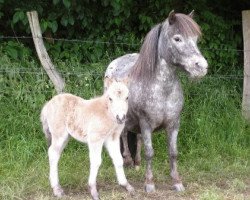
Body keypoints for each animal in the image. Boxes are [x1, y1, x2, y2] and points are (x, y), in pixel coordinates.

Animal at [104, 10, 208, 192]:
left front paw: (177, 182)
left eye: (195, 39)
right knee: (122, 135)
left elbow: (173, 153)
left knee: (135, 137)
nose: (202, 67)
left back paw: (137, 163)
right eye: (177, 38)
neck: (163, 90)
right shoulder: (146, 123)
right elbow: (150, 152)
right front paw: (149, 183)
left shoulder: (174, 124)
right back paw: (127, 160)